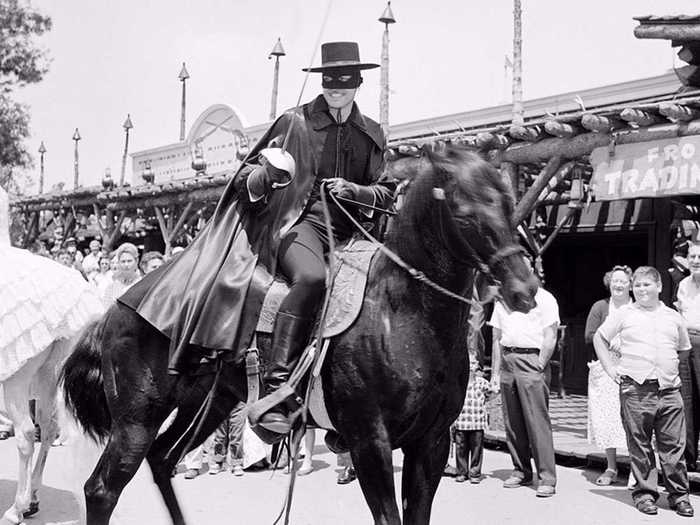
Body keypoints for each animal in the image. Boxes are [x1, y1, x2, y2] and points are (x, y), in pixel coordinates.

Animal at [63, 145, 540, 520]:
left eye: (508, 203)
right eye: (465, 213)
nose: (524, 288)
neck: (403, 314)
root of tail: (116, 308)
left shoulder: (431, 444)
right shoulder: (370, 442)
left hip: (208, 403)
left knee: (163, 462)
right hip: (136, 419)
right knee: (102, 489)